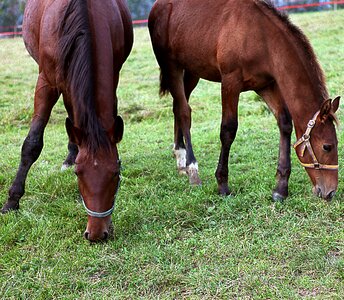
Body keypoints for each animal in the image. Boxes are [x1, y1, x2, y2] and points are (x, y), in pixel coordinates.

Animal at [0, 0, 133, 241]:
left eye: (115, 174)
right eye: (78, 174)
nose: (96, 234)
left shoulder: (113, 75)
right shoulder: (46, 83)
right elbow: (32, 144)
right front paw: (12, 201)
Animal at [149, 0, 340, 202]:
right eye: (327, 147)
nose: (330, 192)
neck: (262, 38)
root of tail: (158, 6)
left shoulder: (266, 85)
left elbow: (284, 123)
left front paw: (280, 188)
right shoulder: (230, 82)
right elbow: (228, 130)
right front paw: (222, 184)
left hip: (193, 70)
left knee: (178, 106)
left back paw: (181, 158)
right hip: (172, 67)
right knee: (184, 111)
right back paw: (191, 167)